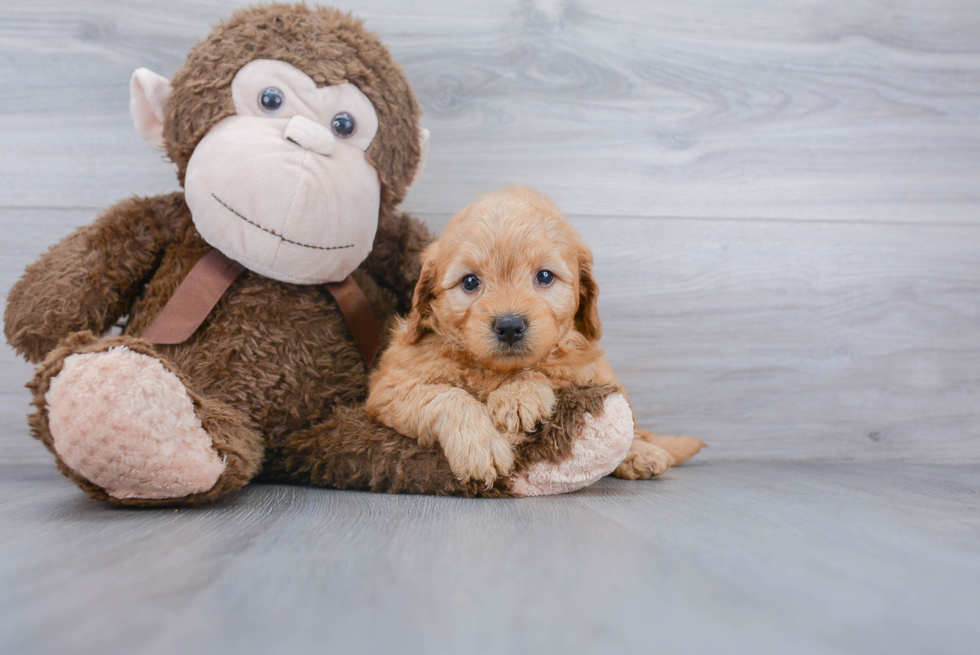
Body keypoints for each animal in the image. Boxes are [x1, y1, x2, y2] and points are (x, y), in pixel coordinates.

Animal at [368, 186, 704, 486]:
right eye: (470, 281)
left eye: (544, 276)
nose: (509, 326)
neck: (494, 371)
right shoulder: (392, 387)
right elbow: (449, 397)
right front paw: (481, 447)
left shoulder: (581, 361)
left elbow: (548, 366)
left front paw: (517, 395)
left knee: (634, 427)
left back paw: (640, 454)